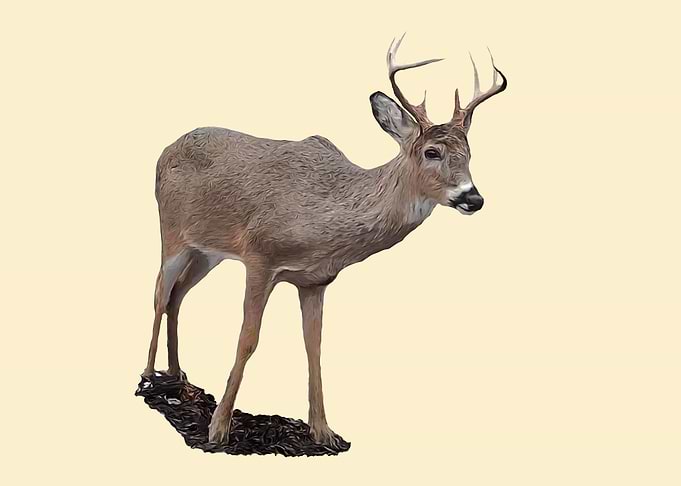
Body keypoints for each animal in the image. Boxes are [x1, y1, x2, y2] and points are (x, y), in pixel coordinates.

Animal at [143, 34, 507, 446]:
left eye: (470, 154)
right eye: (432, 152)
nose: (473, 198)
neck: (324, 220)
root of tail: (165, 150)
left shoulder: (315, 280)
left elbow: (313, 347)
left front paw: (323, 431)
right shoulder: (259, 255)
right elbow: (247, 339)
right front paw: (218, 429)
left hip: (207, 251)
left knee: (178, 295)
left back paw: (178, 377)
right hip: (171, 230)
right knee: (159, 292)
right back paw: (149, 377)